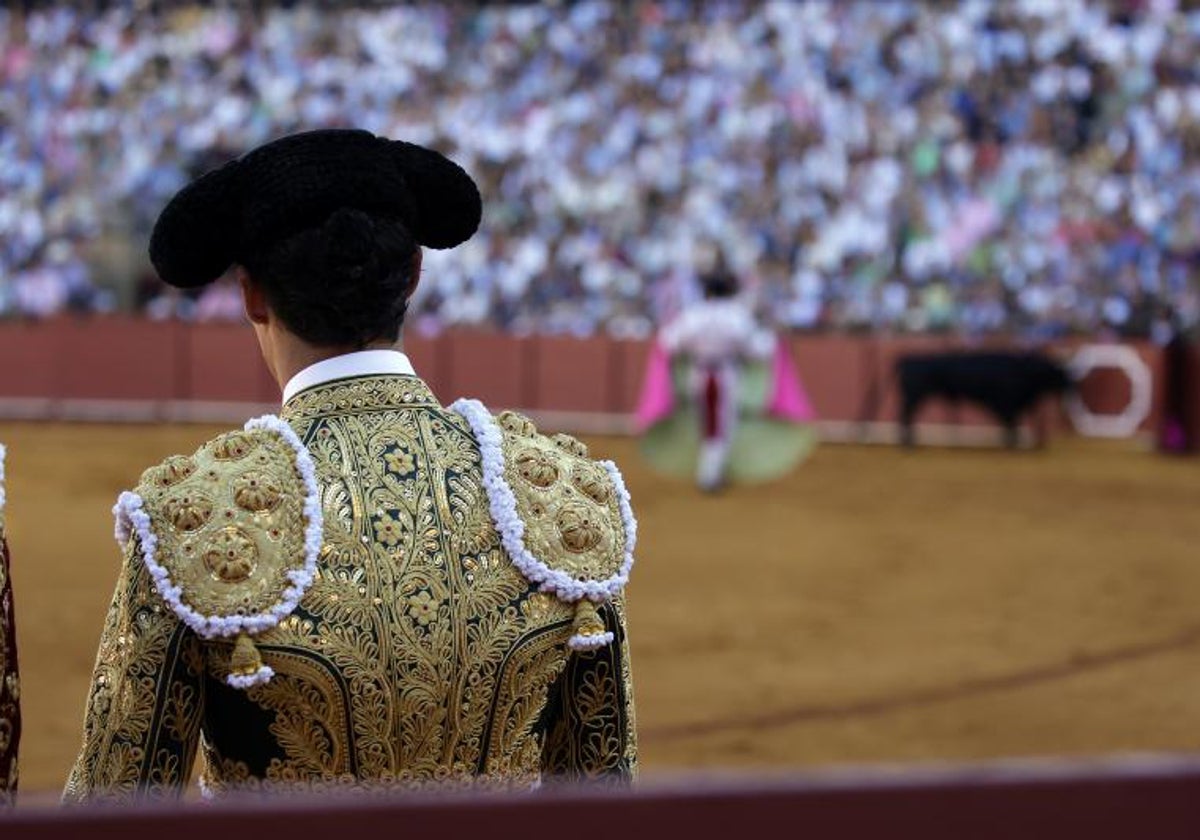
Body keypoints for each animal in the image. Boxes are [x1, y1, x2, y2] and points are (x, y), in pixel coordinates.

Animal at [897, 350, 1075, 448]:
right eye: (1057, 374)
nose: (1070, 384)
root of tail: (907, 361)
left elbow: (1012, 425)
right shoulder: (1007, 403)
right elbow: (1011, 425)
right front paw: (1012, 445)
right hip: (914, 397)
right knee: (906, 416)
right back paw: (908, 444)